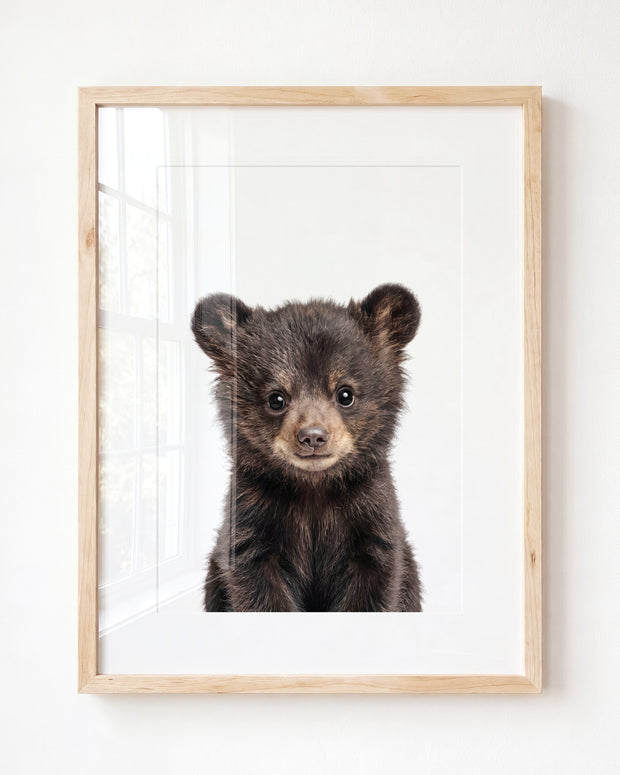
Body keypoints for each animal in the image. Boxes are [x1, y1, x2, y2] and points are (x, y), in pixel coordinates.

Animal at [191, 283, 423, 612]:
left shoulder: (372, 519)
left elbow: (373, 587)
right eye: (276, 398)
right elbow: (258, 589)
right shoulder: (251, 521)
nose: (313, 437)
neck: (314, 489)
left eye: (345, 394)